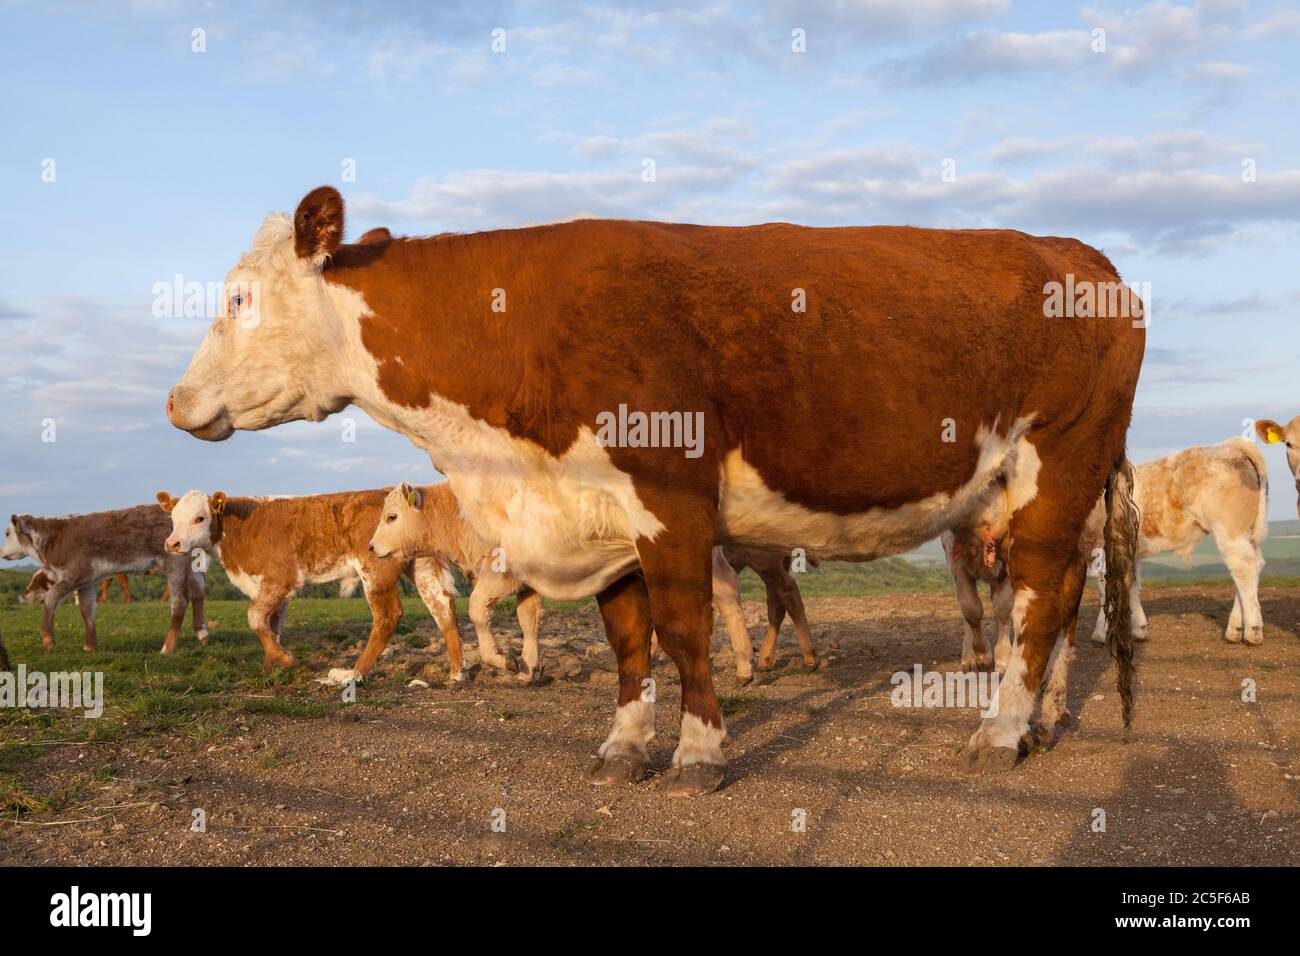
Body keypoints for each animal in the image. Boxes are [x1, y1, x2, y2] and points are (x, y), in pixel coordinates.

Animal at [2, 507, 207, 653]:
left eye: (6, 533)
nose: (1, 552)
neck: (57, 537)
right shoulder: (87, 581)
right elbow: (86, 609)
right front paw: (89, 645)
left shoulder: (73, 575)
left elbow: (51, 598)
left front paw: (48, 639)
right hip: (193, 568)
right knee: (198, 594)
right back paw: (202, 634)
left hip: (175, 564)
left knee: (179, 601)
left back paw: (167, 648)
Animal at [157, 488, 464, 680]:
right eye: (173, 518)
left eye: (200, 518)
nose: (172, 543)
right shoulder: (275, 589)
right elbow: (272, 624)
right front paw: (272, 665)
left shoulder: (279, 579)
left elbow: (255, 616)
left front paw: (284, 659)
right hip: (422, 565)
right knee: (441, 605)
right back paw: (457, 671)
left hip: (376, 569)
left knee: (388, 615)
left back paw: (355, 673)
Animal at [368, 481, 546, 684]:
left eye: (392, 517)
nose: (371, 547)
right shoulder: (529, 585)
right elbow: (529, 622)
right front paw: (527, 671)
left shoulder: (503, 572)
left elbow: (477, 609)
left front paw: (503, 660)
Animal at [1084, 437, 1269, 646]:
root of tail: (1232, 445)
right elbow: (1132, 585)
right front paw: (1139, 629)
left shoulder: (1100, 549)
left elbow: (1104, 590)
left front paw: (1101, 633)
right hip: (1247, 533)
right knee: (1251, 568)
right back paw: (1234, 629)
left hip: (1229, 531)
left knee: (1243, 569)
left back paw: (1252, 630)